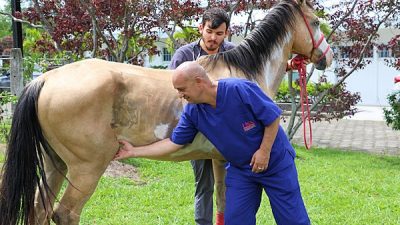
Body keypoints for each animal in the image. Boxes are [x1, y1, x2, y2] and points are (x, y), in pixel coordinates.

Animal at [0, 0, 332, 224]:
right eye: (315, 22)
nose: (326, 57)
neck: (241, 71)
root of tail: (44, 80)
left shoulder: (216, 159)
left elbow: (219, 206)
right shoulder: (231, 160)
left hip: (54, 163)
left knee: (39, 210)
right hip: (87, 168)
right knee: (65, 213)